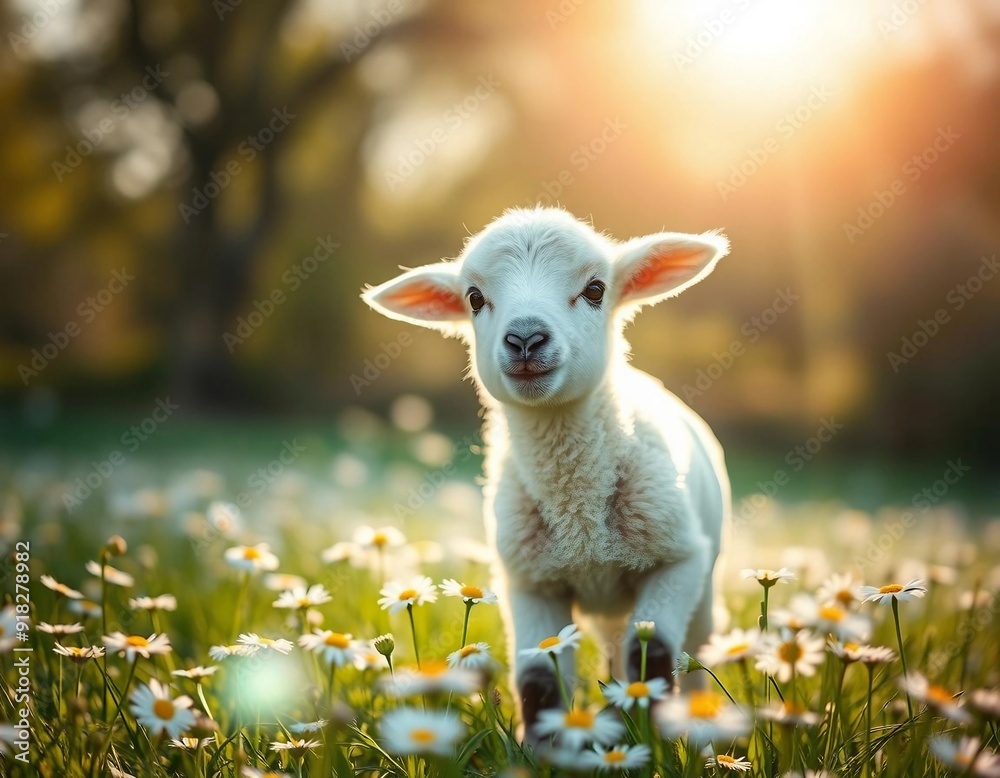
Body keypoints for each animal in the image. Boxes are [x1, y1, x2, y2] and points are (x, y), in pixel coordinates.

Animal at [363, 206, 730, 738]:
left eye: (596, 289)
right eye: (475, 298)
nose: (525, 339)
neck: (579, 515)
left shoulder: (679, 561)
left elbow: (654, 657)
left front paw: (650, 733)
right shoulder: (530, 581)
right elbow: (538, 680)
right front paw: (549, 746)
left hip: (704, 579)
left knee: (694, 654)